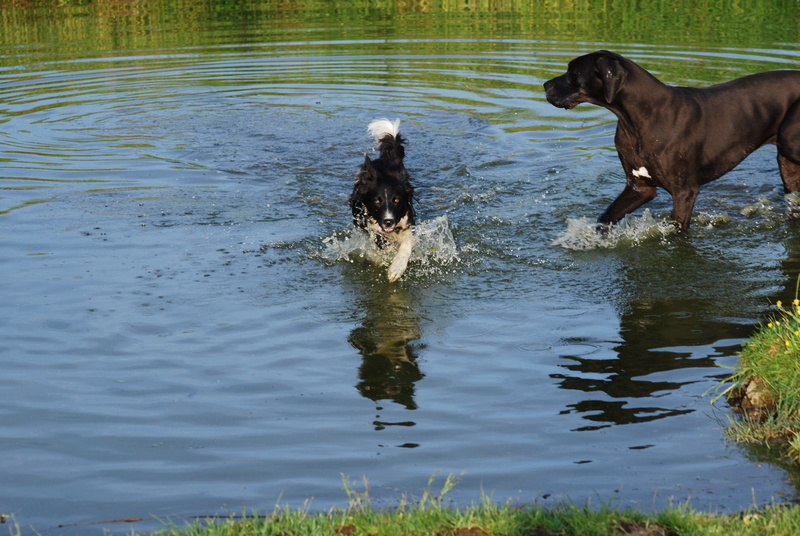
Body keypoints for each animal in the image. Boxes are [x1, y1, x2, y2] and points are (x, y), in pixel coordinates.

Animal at [348, 119, 416, 282]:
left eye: (396, 200)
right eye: (377, 201)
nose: (388, 222)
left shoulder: (407, 222)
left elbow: (407, 244)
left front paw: (396, 268)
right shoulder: (365, 221)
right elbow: (378, 236)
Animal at [544, 47, 800, 228]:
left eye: (573, 73)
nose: (545, 85)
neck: (636, 120)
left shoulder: (684, 193)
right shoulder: (639, 187)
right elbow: (605, 218)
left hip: (790, 141)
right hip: (788, 166)